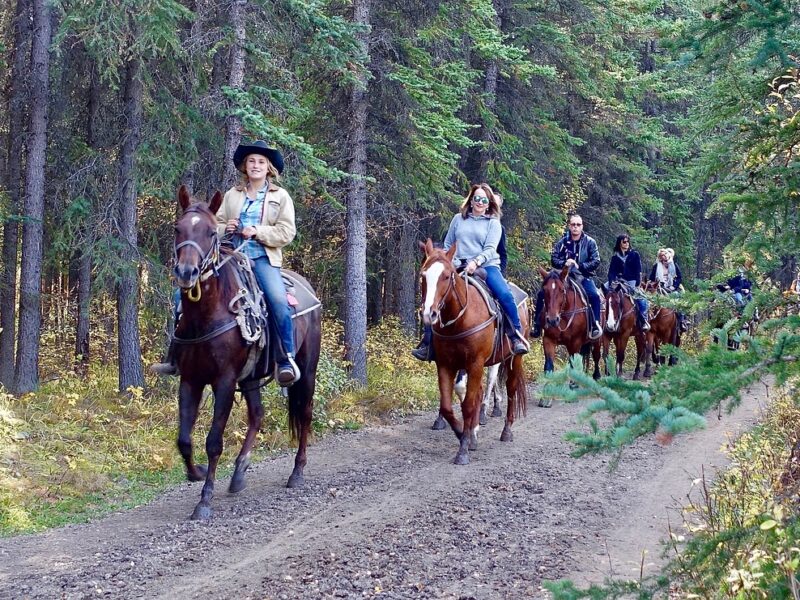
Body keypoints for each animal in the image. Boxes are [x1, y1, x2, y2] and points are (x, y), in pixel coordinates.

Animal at [170, 186, 320, 520]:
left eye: (210, 232)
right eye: (178, 229)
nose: (186, 273)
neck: (206, 315)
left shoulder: (225, 380)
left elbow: (214, 441)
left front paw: (204, 500)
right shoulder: (190, 379)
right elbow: (184, 439)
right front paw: (197, 472)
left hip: (307, 369)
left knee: (304, 412)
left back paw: (298, 472)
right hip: (251, 377)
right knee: (257, 415)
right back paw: (239, 473)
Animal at [416, 238, 528, 464]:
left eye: (446, 275)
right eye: (423, 275)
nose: (429, 314)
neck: (460, 318)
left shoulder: (474, 363)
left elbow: (468, 403)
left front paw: (463, 449)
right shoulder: (446, 364)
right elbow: (448, 405)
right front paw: (463, 433)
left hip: (513, 359)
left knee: (510, 389)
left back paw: (506, 431)